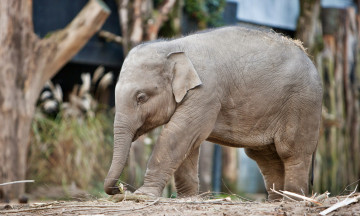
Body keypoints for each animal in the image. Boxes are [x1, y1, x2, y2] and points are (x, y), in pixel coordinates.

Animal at [104, 25, 324, 201]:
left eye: (141, 97)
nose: (119, 189)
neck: (173, 46)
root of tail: (310, 58)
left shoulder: (206, 92)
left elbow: (179, 133)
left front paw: (142, 196)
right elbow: (188, 142)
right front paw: (188, 198)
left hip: (303, 104)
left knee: (292, 152)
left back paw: (293, 200)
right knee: (265, 156)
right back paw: (276, 200)